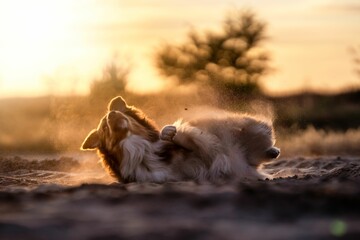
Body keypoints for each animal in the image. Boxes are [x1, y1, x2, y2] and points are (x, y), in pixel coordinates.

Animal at [80, 96, 280, 183]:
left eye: (116, 112)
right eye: (105, 127)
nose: (112, 113)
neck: (137, 149)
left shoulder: (205, 147)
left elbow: (189, 136)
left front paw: (169, 132)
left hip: (241, 126)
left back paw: (272, 150)